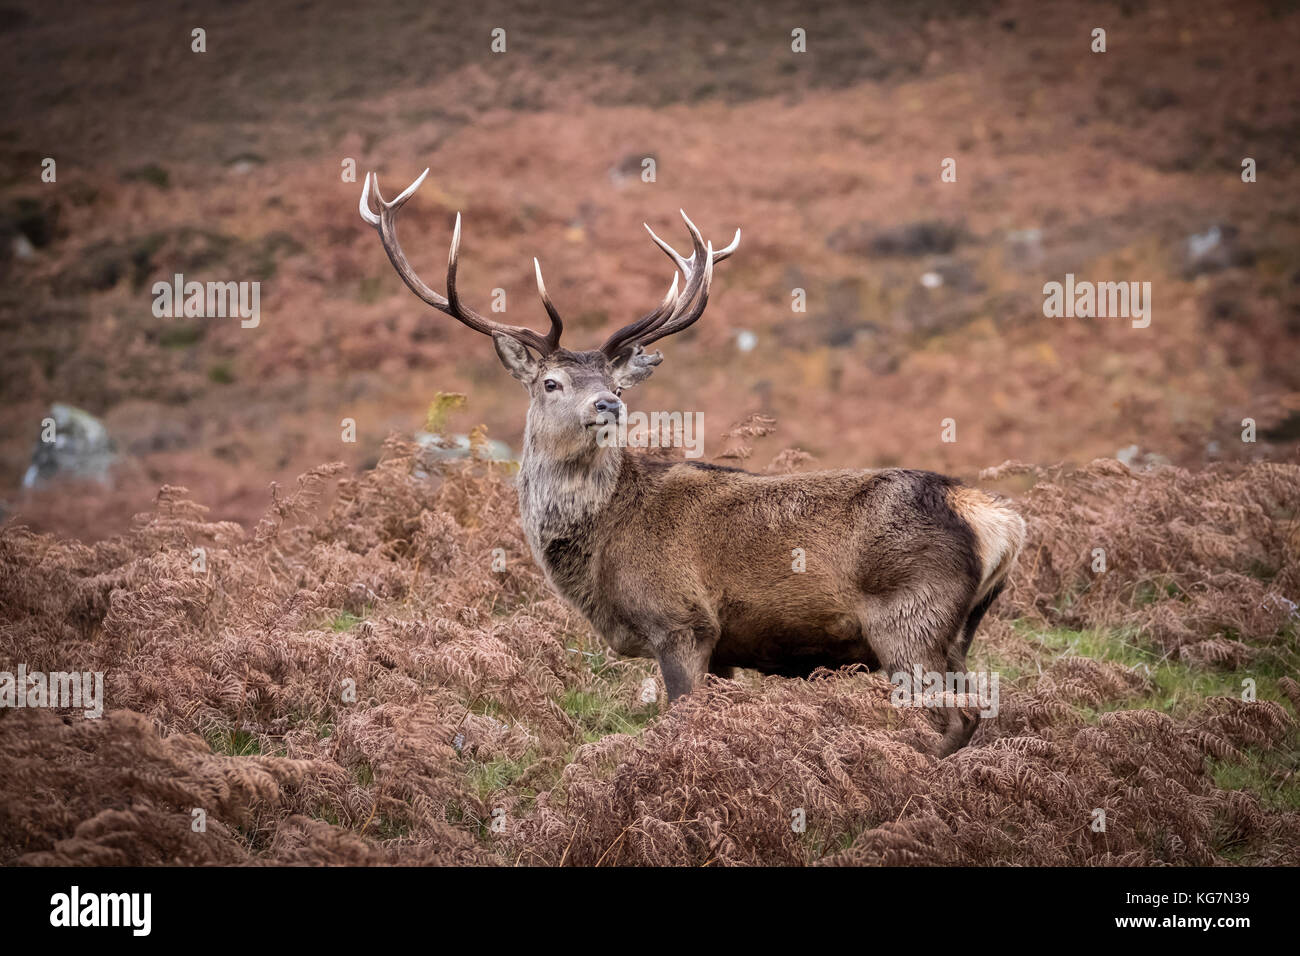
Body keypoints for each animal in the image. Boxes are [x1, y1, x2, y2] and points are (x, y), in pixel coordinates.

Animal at [360, 168, 1026, 756]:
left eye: (616, 385)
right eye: (551, 382)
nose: (608, 404)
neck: (599, 553)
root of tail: (999, 520)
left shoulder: (683, 623)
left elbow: (680, 721)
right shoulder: (725, 650)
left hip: (907, 621)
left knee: (959, 715)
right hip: (958, 634)